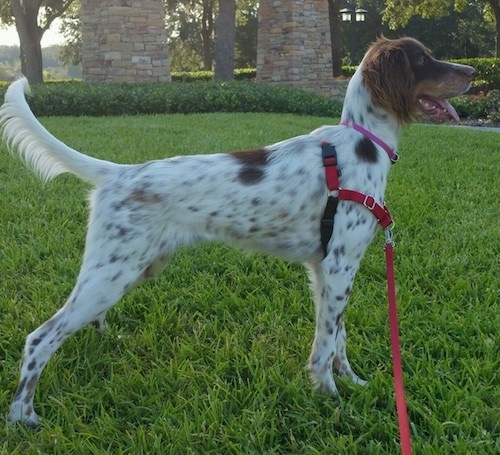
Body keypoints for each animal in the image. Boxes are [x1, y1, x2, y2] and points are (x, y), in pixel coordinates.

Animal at [0, 38, 474, 428]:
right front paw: (330, 399)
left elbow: (336, 337)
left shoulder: (325, 269)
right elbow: (325, 343)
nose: (472, 71)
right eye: (423, 59)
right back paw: (23, 416)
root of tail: (119, 173)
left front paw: (351, 382)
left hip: (128, 269)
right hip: (110, 274)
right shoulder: (341, 264)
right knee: (40, 338)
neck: (361, 145)